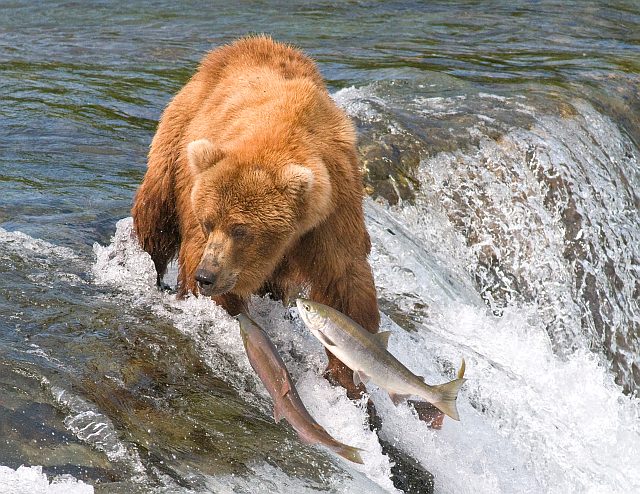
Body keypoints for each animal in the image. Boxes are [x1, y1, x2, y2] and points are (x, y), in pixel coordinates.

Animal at [132, 35, 378, 398]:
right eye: (208, 222)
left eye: (241, 229)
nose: (207, 276)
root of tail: (239, 45)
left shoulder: (332, 209)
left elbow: (344, 282)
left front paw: (348, 375)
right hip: (178, 138)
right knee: (156, 216)